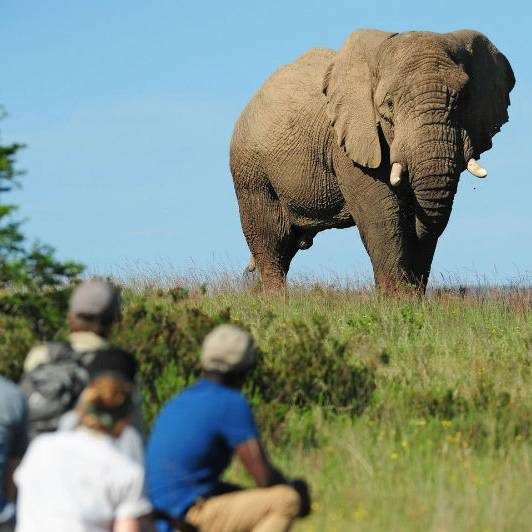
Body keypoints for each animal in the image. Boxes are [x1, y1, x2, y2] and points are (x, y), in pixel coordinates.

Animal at [231, 30, 512, 290]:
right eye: (388, 104)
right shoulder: (348, 144)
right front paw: (398, 301)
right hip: (250, 169)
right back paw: (277, 301)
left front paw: (413, 297)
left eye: (464, 99)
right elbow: (382, 216)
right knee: (271, 243)